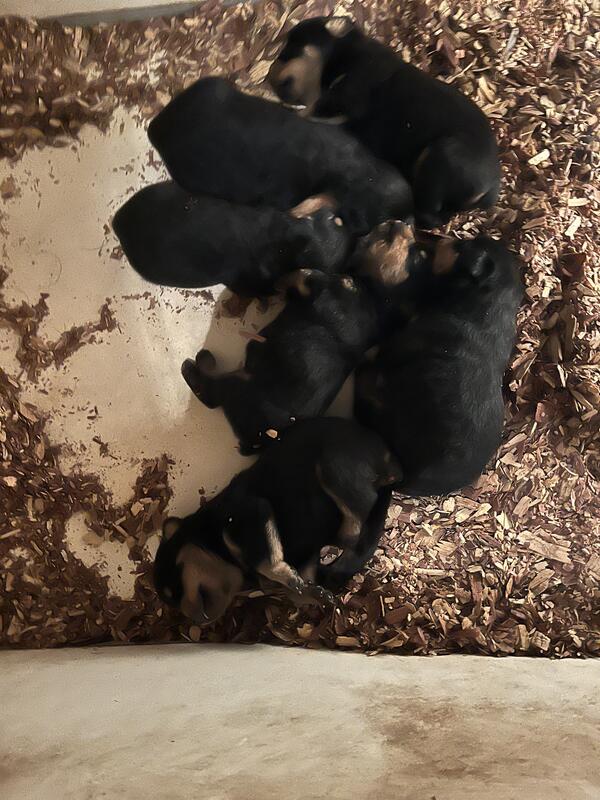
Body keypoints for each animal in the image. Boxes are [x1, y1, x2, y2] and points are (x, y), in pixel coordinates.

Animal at [153, 417, 400, 624]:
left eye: (175, 578)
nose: (196, 621)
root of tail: (389, 457)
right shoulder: (305, 559)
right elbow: (298, 590)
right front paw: (315, 593)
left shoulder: (249, 512)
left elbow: (265, 561)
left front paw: (288, 577)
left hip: (333, 466)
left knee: (363, 505)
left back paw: (341, 539)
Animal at [269, 17, 500, 228]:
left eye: (291, 46)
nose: (271, 79)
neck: (344, 54)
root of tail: (490, 189)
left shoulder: (348, 97)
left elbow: (313, 111)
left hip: (442, 155)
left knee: (427, 213)